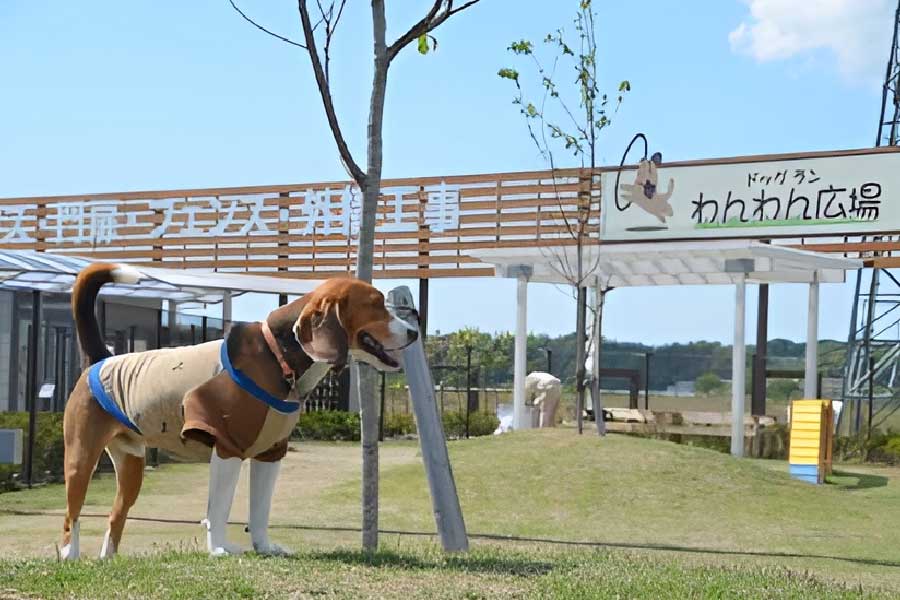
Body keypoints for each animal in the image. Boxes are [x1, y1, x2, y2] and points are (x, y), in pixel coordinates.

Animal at [59, 264, 418, 560]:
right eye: (374, 304)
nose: (415, 332)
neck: (278, 356)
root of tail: (101, 359)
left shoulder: (271, 453)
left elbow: (259, 511)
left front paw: (265, 548)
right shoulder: (227, 447)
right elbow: (219, 508)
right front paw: (219, 548)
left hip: (132, 464)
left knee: (115, 516)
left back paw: (108, 560)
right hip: (81, 459)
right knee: (70, 517)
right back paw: (69, 556)